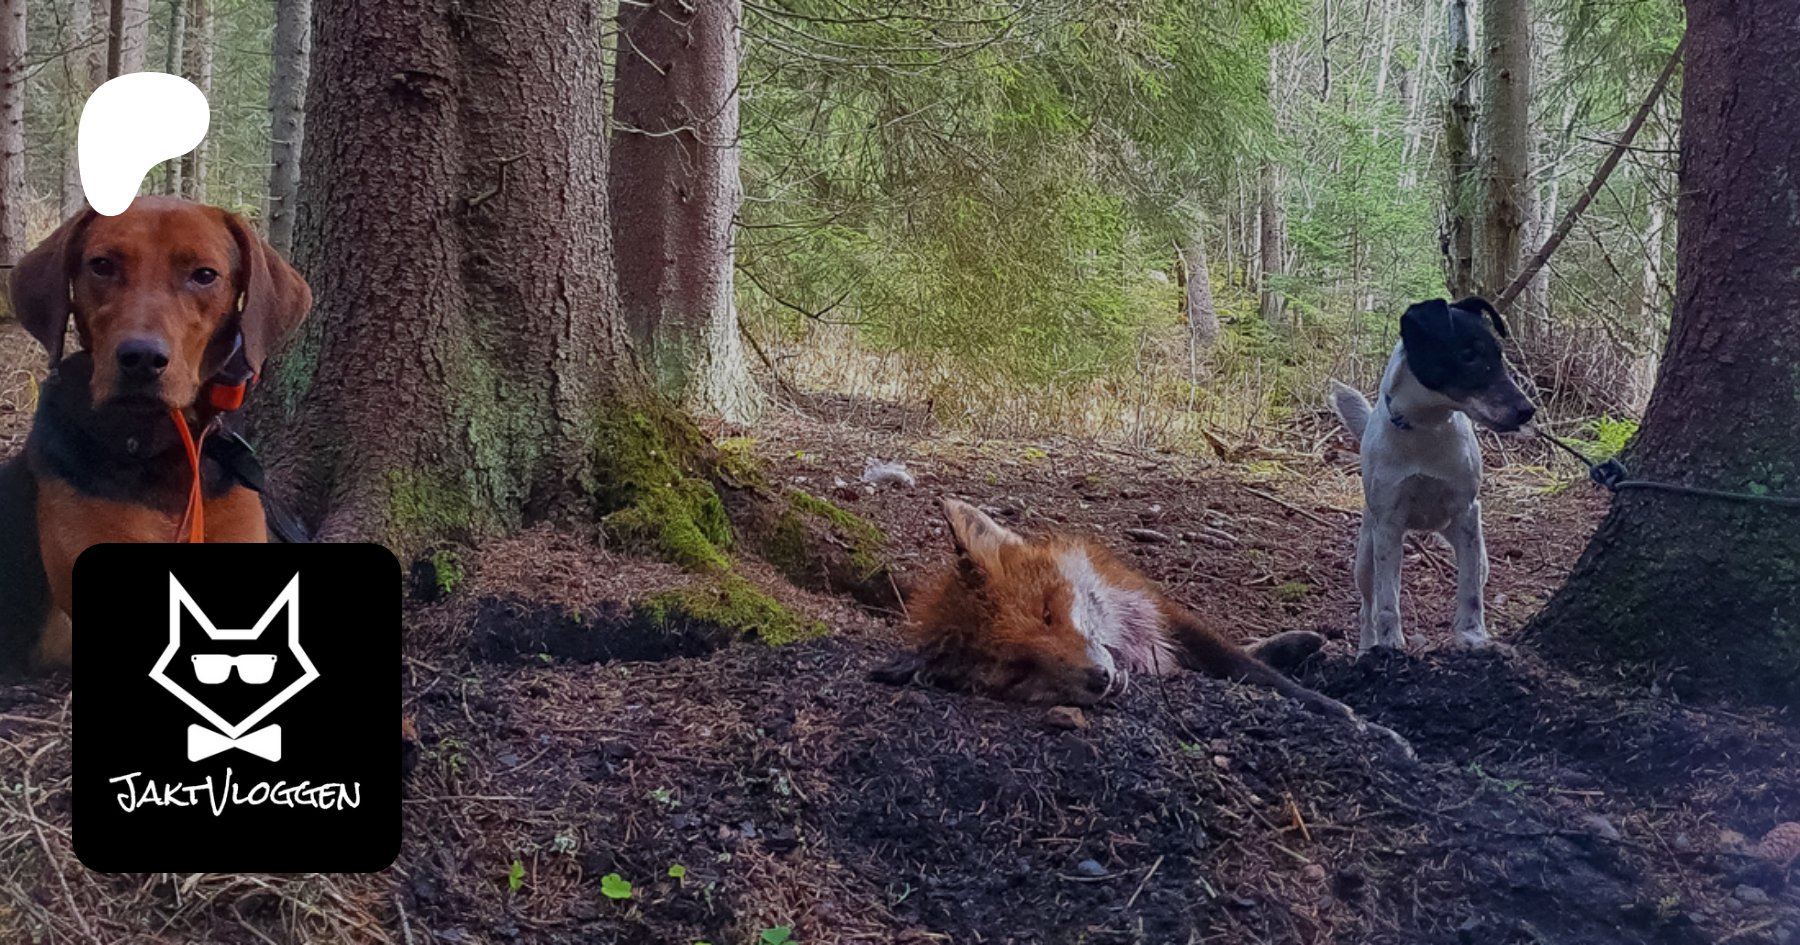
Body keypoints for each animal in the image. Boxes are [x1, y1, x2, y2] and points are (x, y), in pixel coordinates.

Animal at [874, 498, 1406, 751]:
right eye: (1020, 670)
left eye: (1047, 612)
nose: (1097, 679)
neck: (1127, 646)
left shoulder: (1162, 613)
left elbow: (1258, 674)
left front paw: (1361, 724)